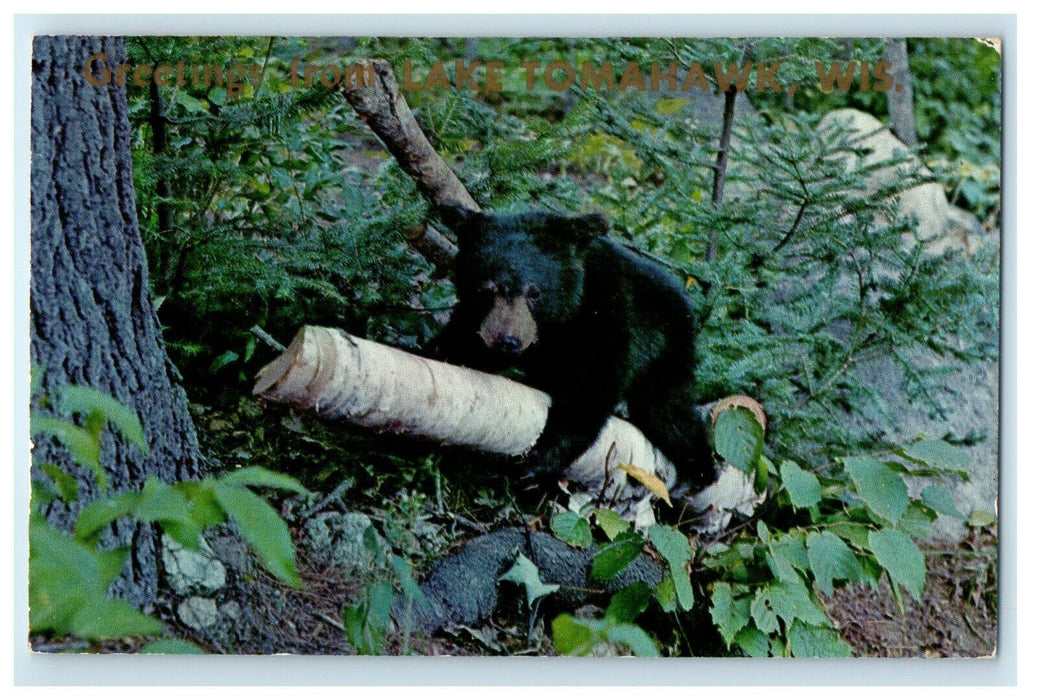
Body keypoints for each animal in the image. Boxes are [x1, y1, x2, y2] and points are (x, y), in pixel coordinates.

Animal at [432, 206, 715, 493]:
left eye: (535, 292)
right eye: (486, 290)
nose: (507, 340)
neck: (555, 327)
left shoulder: (608, 314)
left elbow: (592, 386)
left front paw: (539, 461)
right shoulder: (471, 323)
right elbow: (454, 344)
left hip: (667, 347)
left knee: (667, 410)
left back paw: (702, 468)